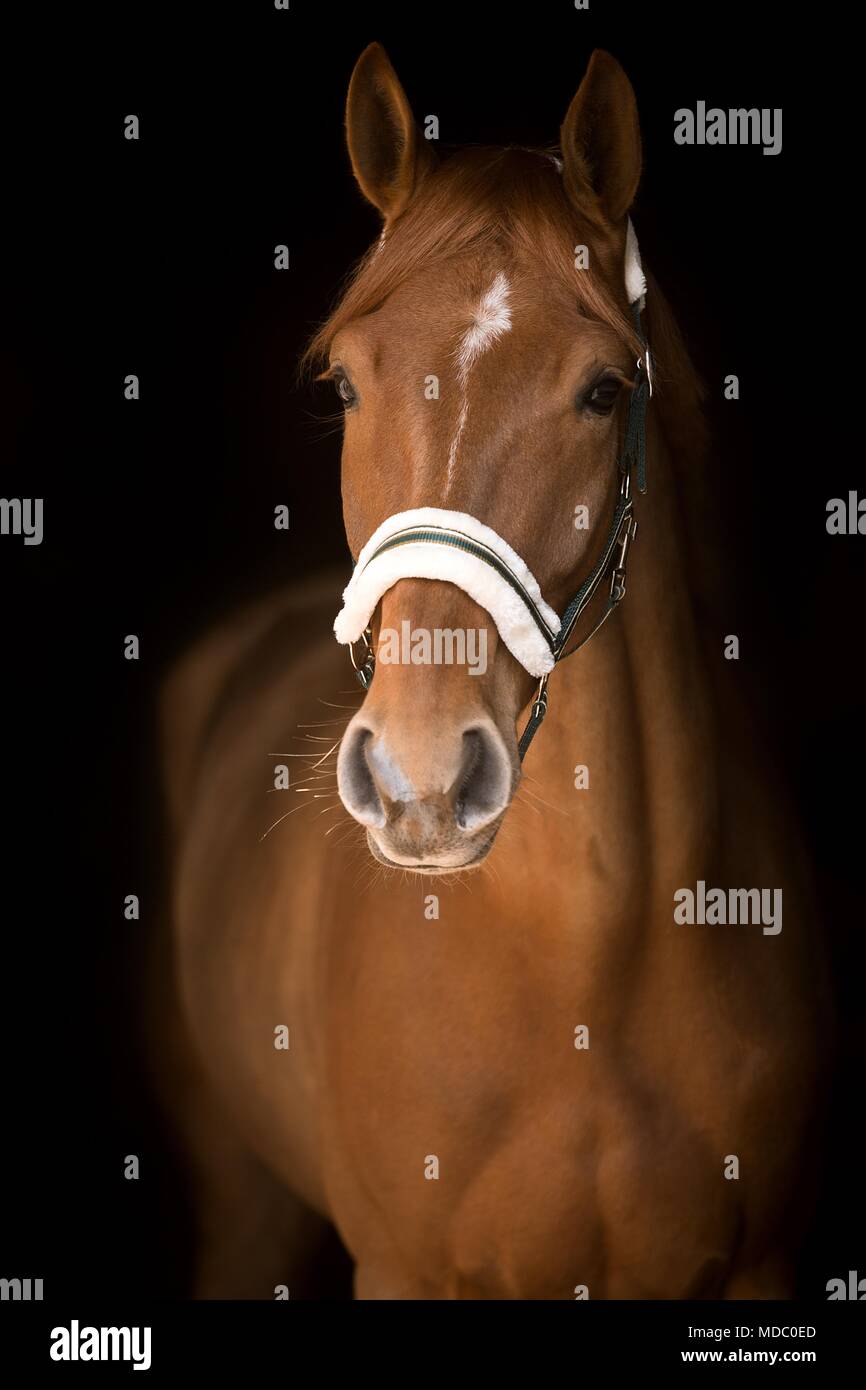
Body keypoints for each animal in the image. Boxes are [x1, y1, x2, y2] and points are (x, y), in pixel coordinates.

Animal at [155, 46, 834, 1301]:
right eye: (342, 386)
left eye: (603, 389)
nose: (420, 776)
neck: (588, 960)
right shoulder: (400, 1271)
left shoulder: (758, 1266)